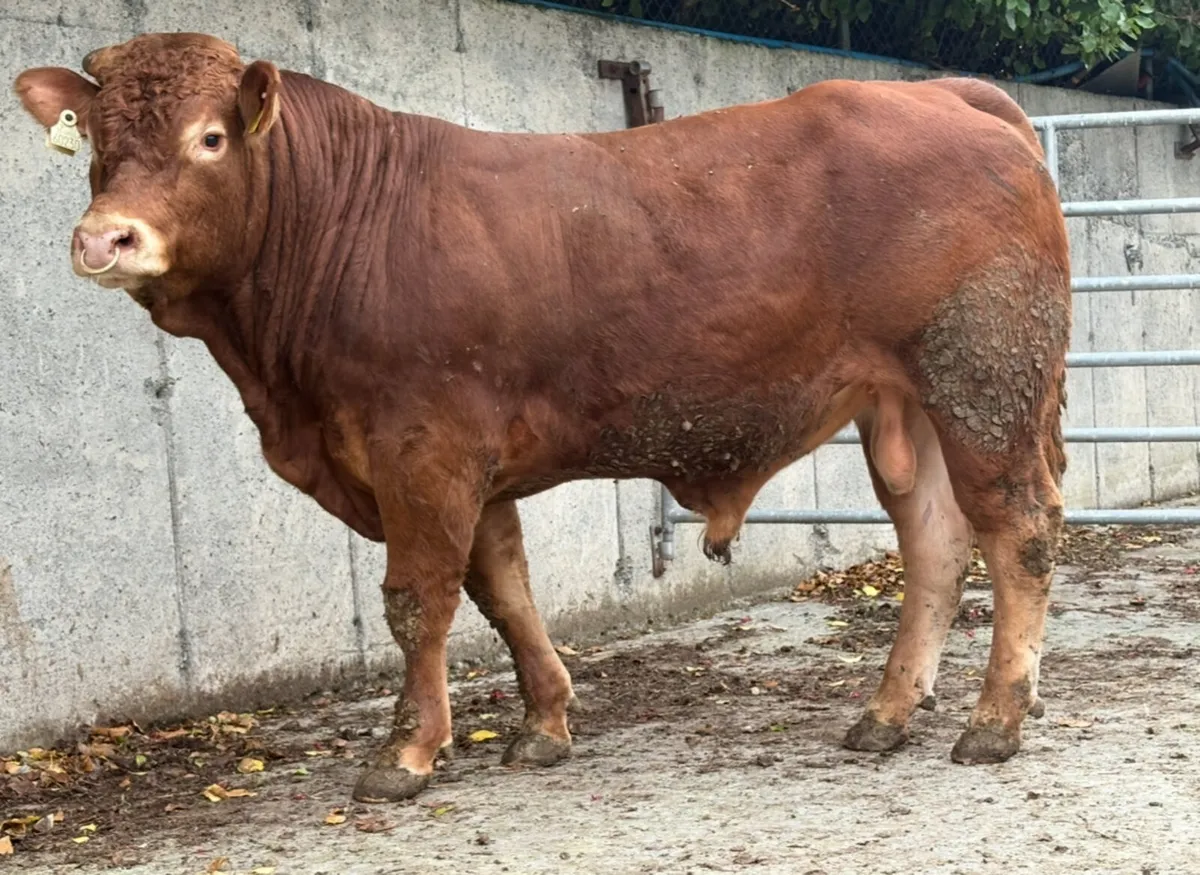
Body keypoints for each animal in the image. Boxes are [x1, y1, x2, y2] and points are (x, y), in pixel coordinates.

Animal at [14, 32, 1071, 803]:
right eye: (95, 141)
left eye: (211, 138)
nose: (105, 238)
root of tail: (944, 93)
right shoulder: (468, 465)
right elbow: (504, 590)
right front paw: (543, 723)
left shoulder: (422, 447)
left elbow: (419, 600)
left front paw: (406, 752)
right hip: (909, 404)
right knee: (935, 541)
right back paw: (887, 713)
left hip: (983, 380)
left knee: (1018, 529)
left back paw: (994, 721)